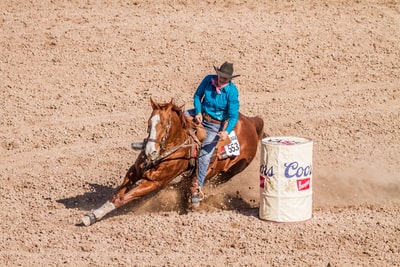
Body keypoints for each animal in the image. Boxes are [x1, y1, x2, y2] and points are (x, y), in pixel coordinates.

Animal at [81, 97, 266, 227]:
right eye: (149, 123)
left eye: (164, 124)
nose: (150, 151)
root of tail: (251, 122)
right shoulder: (134, 172)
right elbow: (116, 196)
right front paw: (93, 215)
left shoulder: (154, 182)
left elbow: (122, 199)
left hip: (228, 173)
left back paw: (193, 198)